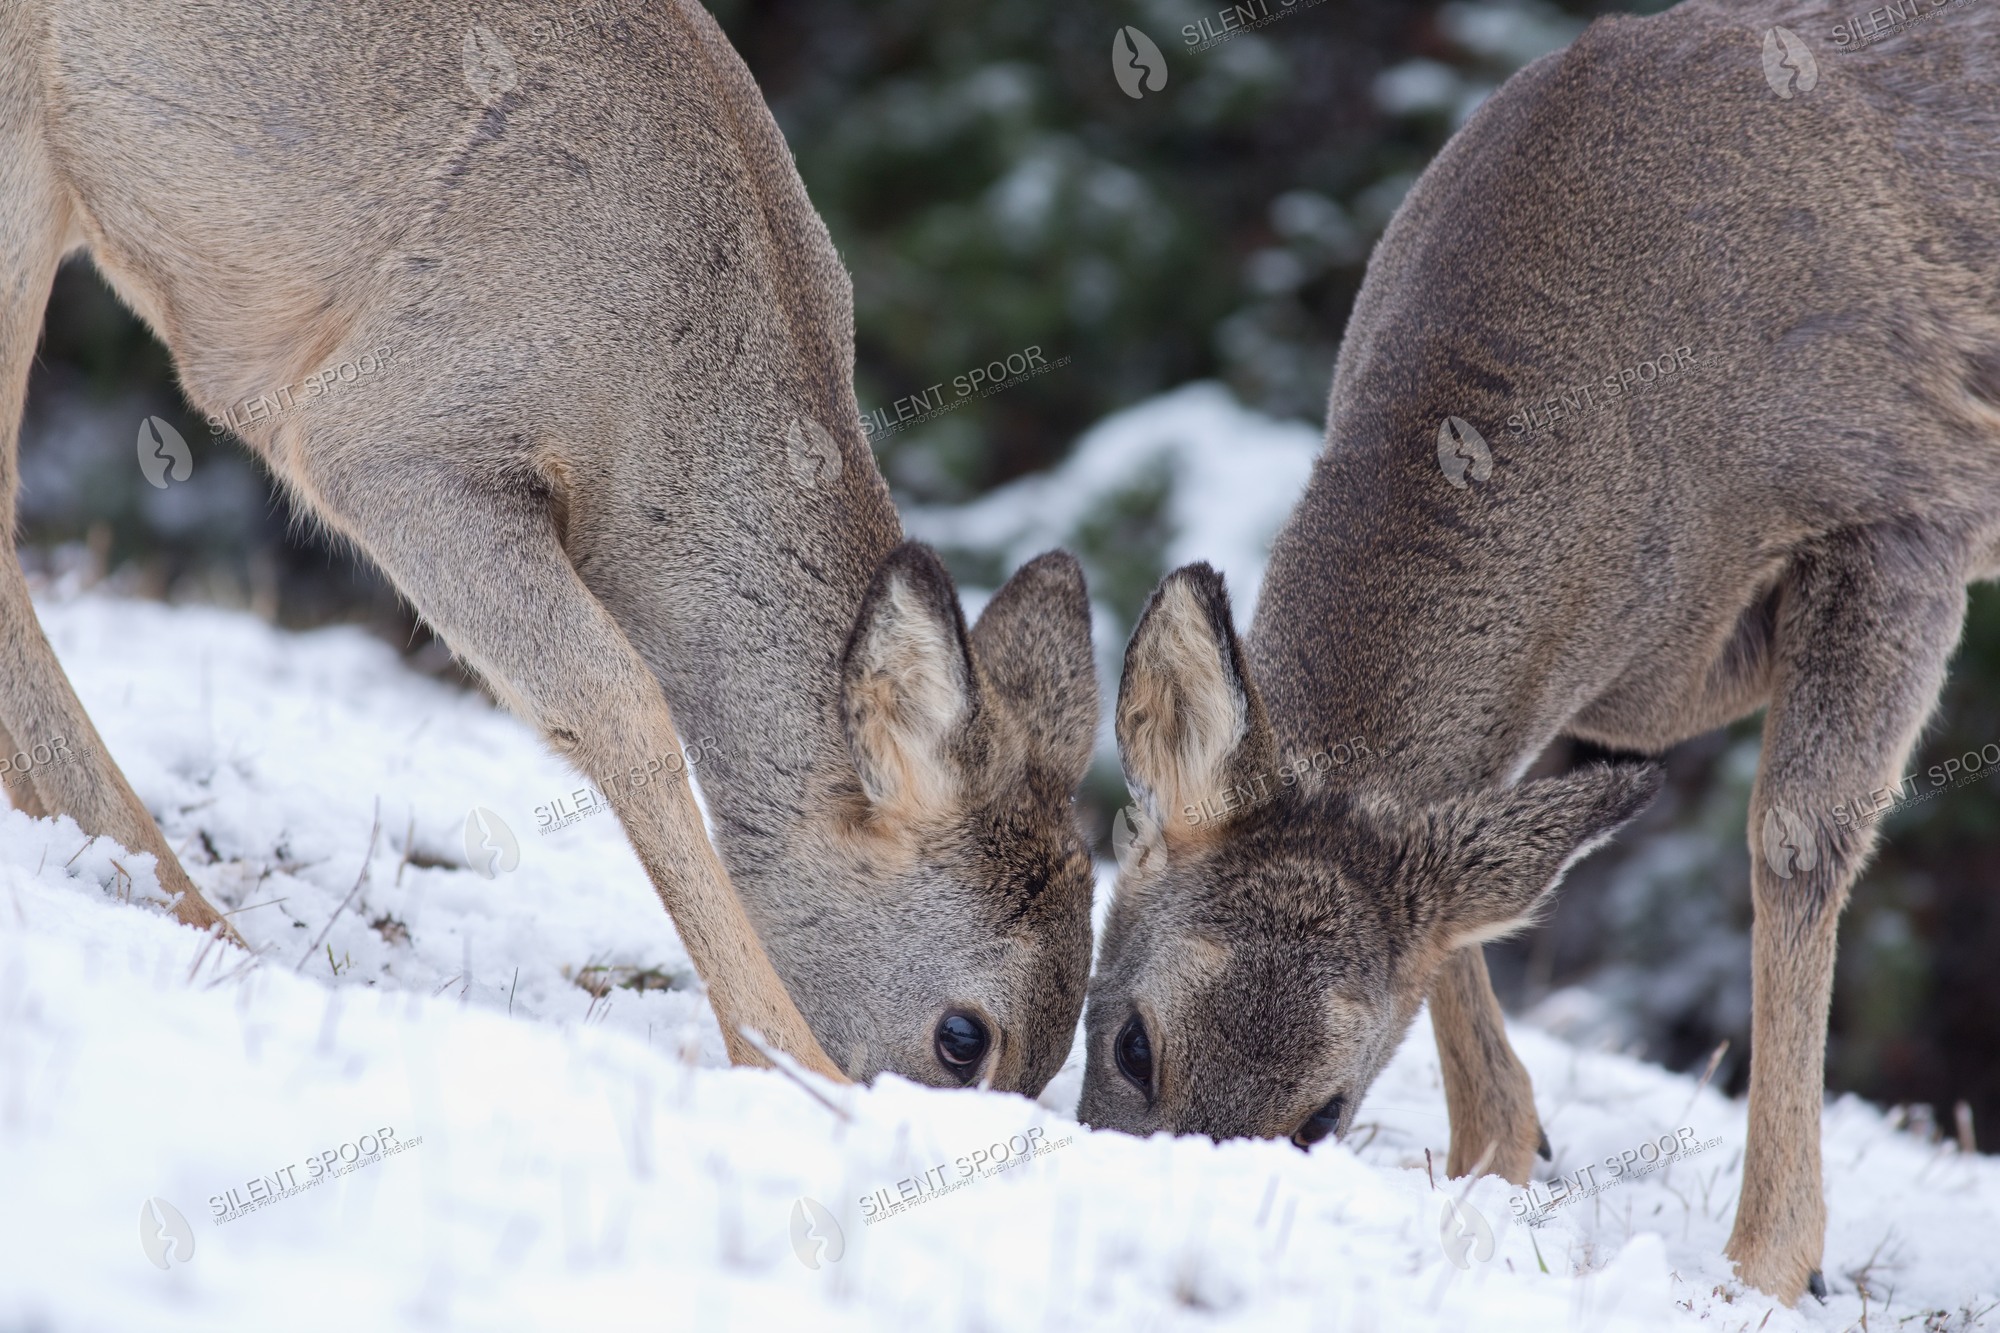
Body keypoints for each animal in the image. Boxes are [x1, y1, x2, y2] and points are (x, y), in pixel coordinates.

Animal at [1075, 0, 2000, 1303]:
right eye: (1130, 1042)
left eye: (1320, 1116)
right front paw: (1495, 1151)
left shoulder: (1906, 518)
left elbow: (1795, 843)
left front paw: (1763, 1266)